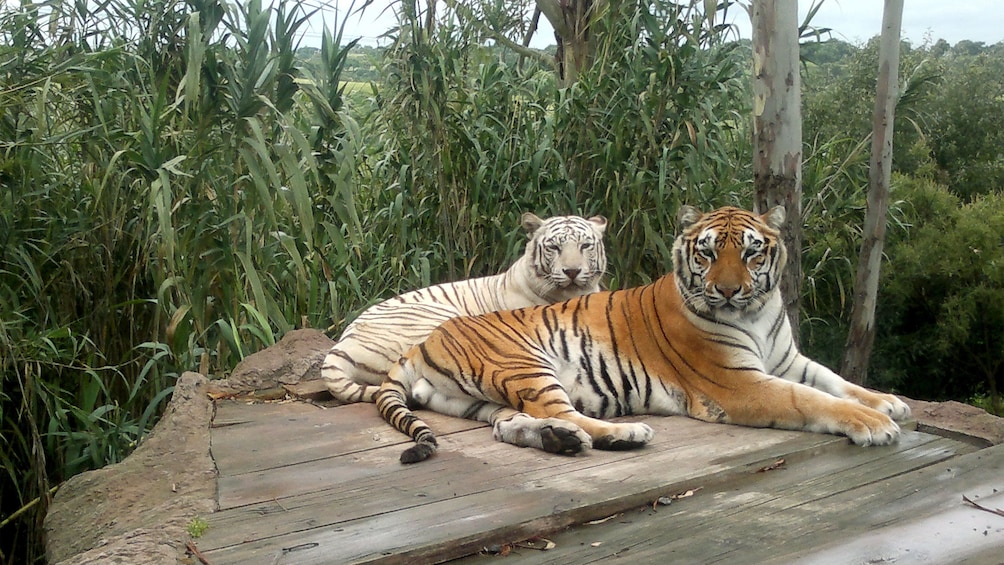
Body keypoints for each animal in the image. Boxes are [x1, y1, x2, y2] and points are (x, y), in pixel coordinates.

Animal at [377, 204, 911, 463]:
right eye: (707, 253)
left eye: (753, 252)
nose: (729, 290)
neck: (756, 313)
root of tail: (421, 342)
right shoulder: (738, 382)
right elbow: (810, 399)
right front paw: (872, 423)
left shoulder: (786, 360)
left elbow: (835, 381)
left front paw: (888, 401)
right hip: (525, 365)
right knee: (565, 413)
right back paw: (621, 434)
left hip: (477, 400)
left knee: (509, 424)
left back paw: (559, 440)